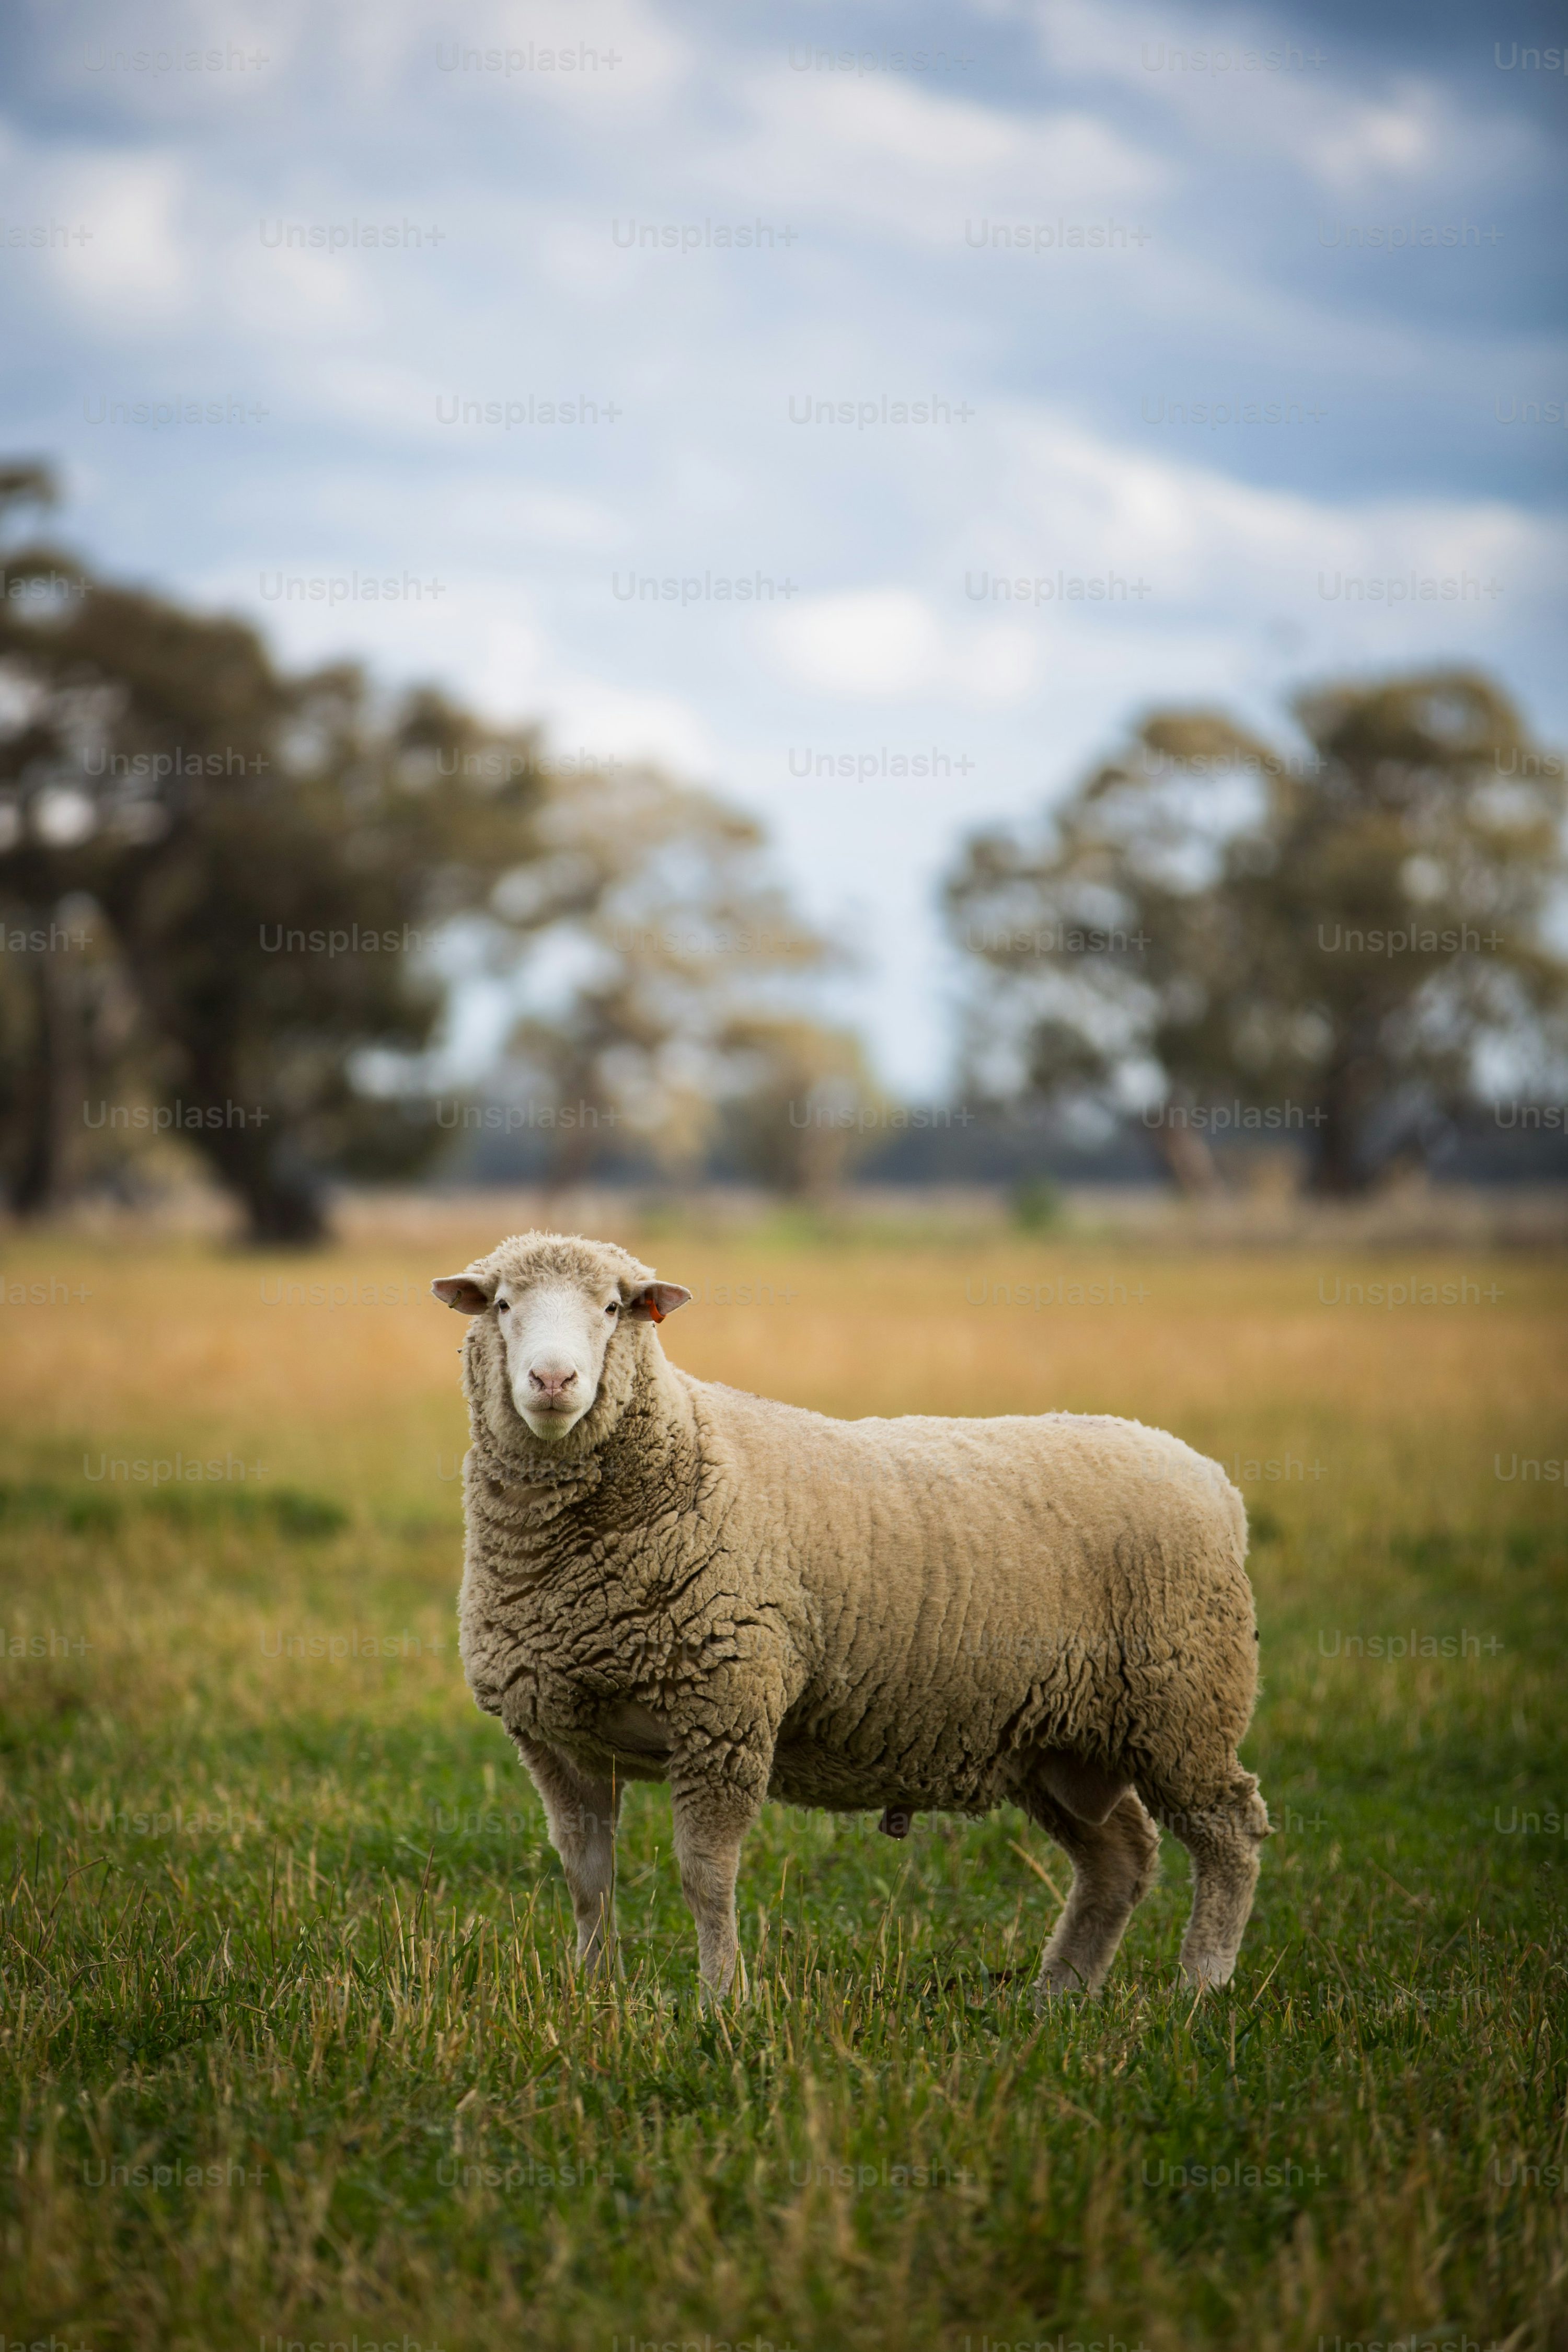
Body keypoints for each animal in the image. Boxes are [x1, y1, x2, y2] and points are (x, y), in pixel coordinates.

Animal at [433, 1230, 1271, 2004]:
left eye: (614, 1309)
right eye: (501, 1304)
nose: (553, 1379)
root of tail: (1214, 1479)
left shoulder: (724, 1717)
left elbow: (705, 1877)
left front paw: (720, 1999)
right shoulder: (555, 1738)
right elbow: (586, 1880)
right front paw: (592, 1992)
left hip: (1184, 1703)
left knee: (1230, 1833)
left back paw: (1201, 1983)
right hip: (1060, 1739)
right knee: (1119, 1857)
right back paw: (1058, 1994)